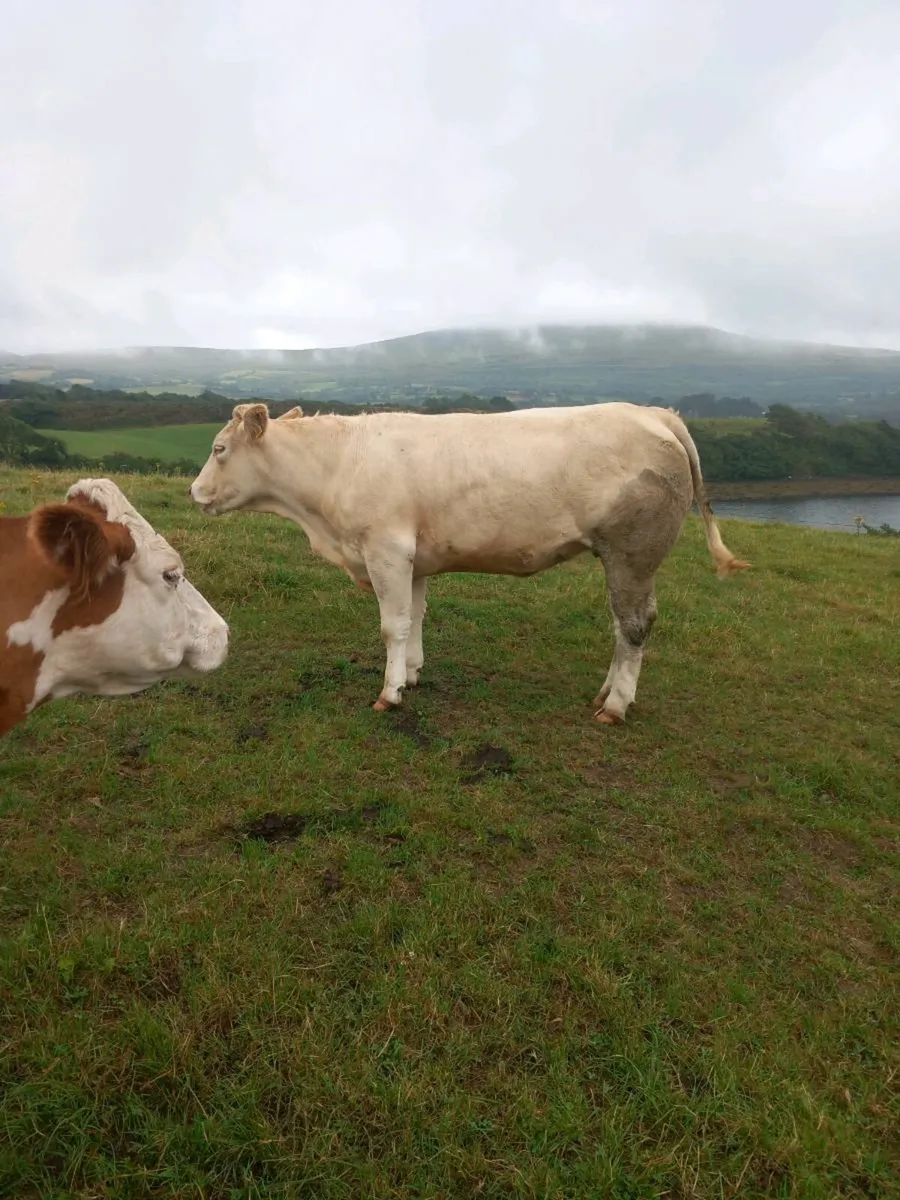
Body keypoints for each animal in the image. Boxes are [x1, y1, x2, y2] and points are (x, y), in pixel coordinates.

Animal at [189, 402, 749, 724]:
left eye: (218, 448)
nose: (194, 493)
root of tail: (655, 413)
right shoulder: (413, 557)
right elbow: (415, 618)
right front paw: (412, 673)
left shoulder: (386, 549)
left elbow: (392, 625)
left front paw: (389, 692)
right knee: (621, 625)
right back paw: (607, 692)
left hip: (634, 553)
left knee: (635, 625)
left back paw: (615, 706)